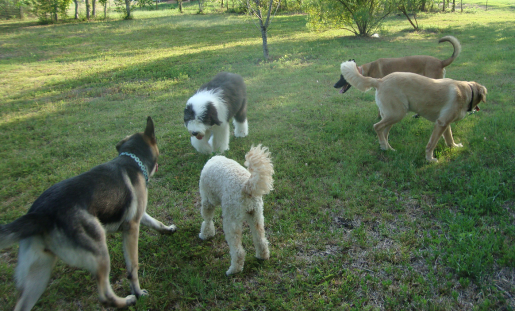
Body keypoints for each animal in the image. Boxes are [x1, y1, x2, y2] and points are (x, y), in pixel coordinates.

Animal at [200, 144, 276, 276]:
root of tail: (247, 186)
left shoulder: (207, 200)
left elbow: (207, 219)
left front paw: (205, 234)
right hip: (256, 215)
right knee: (260, 240)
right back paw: (263, 256)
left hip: (231, 220)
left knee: (238, 251)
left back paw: (233, 270)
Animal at [340, 61, 490, 163]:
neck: (467, 91)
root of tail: (380, 80)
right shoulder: (441, 123)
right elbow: (432, 144)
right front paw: (430, 159)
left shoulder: (445, 123)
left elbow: (449, 138)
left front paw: (454, 147)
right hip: (397, 114)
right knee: (377, 127)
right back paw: (384, 146)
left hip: (391, 115)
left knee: (384, 132)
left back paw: (388, 148)